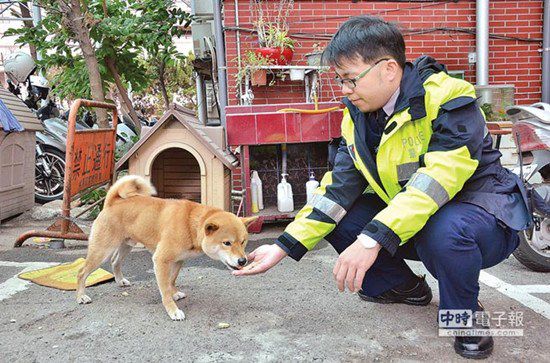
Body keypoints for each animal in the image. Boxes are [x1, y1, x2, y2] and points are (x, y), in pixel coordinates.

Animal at [76, 176, 258, 322]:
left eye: (243, 242)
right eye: (227, 243)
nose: (243, 260)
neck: (190, 224)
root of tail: (112, 202)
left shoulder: (177, 260)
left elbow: (171, 281)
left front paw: (174, 293)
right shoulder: (161, 260)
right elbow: (164, 289)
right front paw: (173, 310)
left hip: (126, 245)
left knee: (115, 262)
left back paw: (120, 281)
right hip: (102, 251)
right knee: (82, 272)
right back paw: (81, 296)